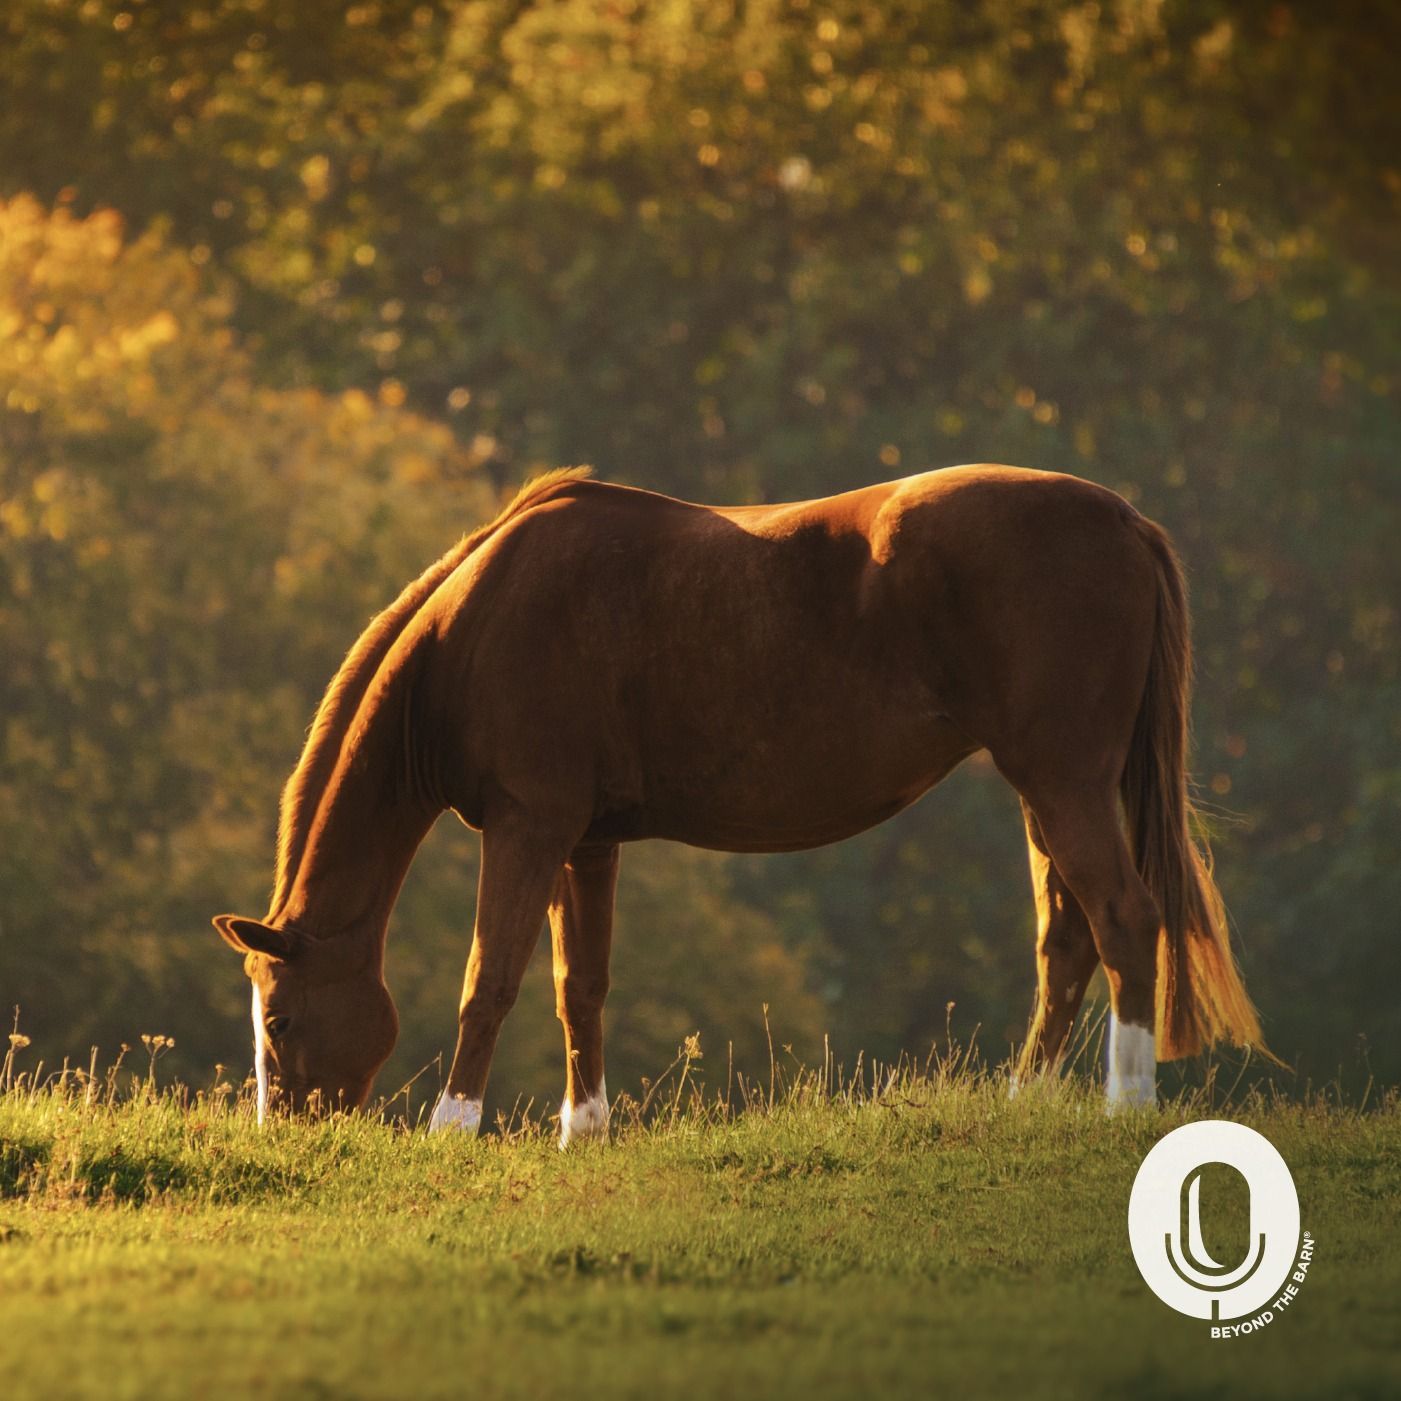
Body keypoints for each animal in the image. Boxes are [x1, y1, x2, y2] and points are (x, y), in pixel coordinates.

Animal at [213, 464, 1265, 1143]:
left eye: (277, 1021)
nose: (288, 1134)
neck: (478, 625)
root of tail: (1123, 520)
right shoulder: (585, 842)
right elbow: (577, 986)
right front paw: (583, 1130)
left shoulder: (526, 826)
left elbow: (491, 981)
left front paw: (450, 1127)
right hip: (1044, 787)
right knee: (1068, 940)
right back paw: (1027, 1102)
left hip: (1063, 776)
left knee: (1124, 917)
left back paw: (1124, 1104)